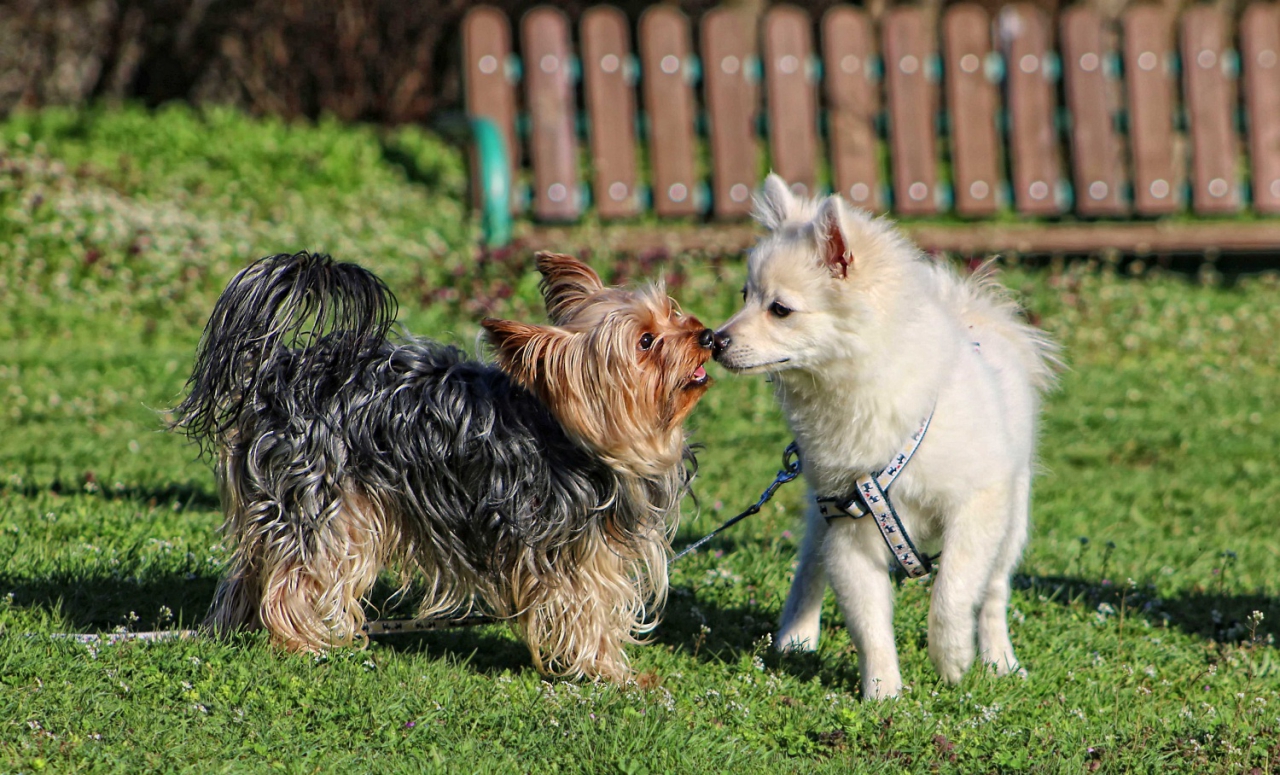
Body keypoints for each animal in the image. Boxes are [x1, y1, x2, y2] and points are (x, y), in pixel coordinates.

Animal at [171, 251, 716, 681]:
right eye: (646, 342)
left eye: (674, 312)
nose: (707, 335)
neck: (577, 437)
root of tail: (278, 371)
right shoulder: (573, 553)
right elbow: (591, 610)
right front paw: (614, 675)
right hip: (325, 503)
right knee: (297, 576)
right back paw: (302, 644)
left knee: (251, 570)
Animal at [711, 176, 1059, 701]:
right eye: (744, 294)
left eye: (780, 310)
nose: (714, 340)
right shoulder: (849, 527)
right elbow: (869, 623)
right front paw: (882, 695)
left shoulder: (977, 504)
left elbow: (953, 590)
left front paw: (952, 657)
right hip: (821, 520)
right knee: (809, 568)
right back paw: (795, 636)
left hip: (1012, 518)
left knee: (995, 592)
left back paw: (999, 660)